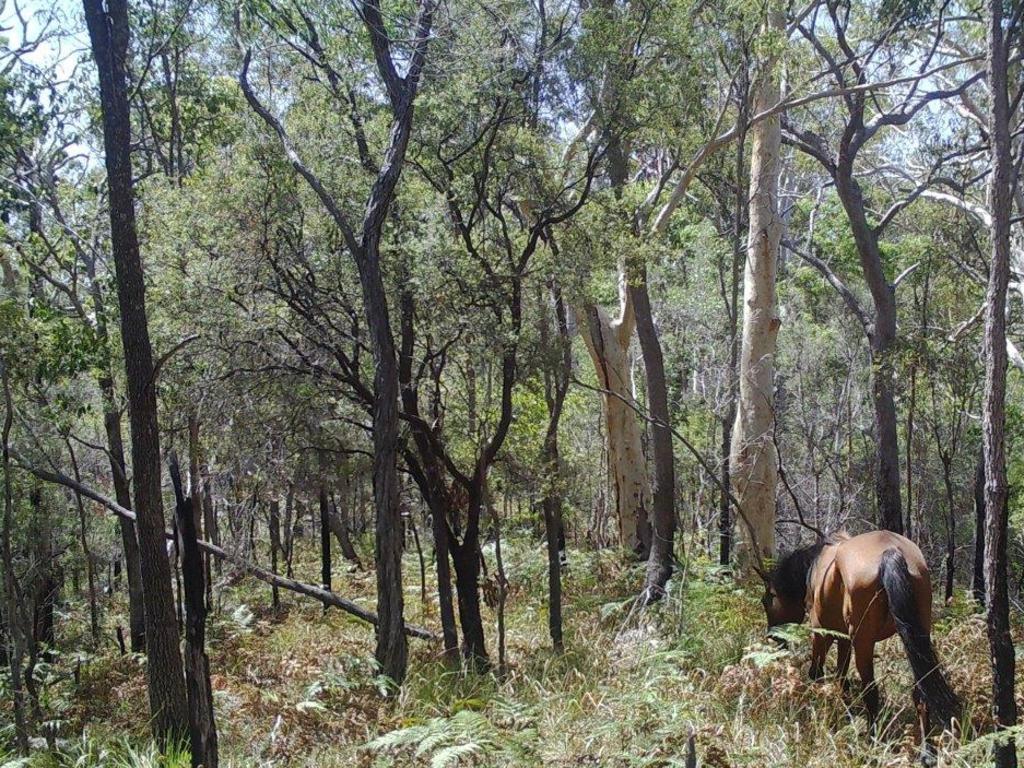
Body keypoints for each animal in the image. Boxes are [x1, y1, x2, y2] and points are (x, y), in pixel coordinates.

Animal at [770, 532, 958, 753]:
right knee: (921, 691)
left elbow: (817, 672)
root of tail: (890, 550)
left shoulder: (822, 633)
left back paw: (872, 742)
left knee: (871, 690)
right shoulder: (844, 638)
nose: (773, 637)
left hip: (863, 642)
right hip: (916, 637)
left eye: (766, 600)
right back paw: (926, 751)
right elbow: (841, 677)